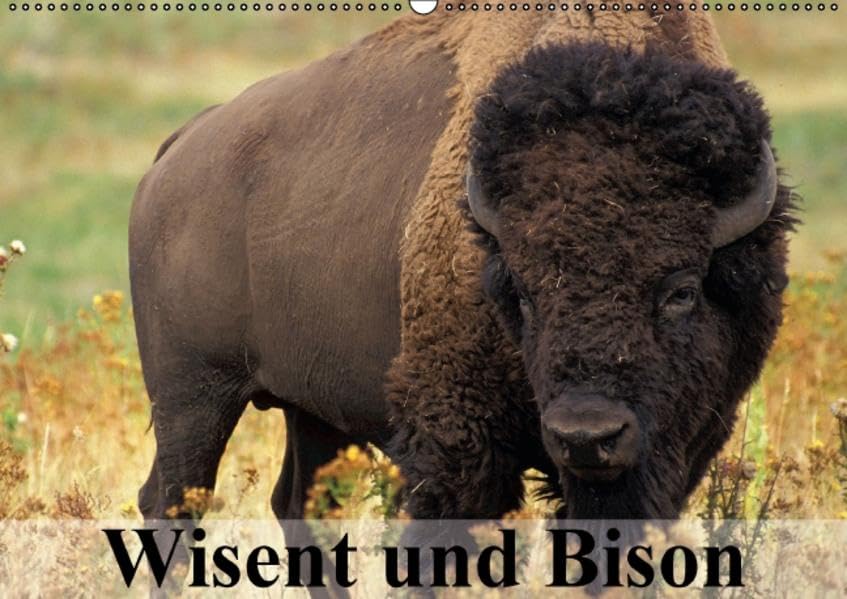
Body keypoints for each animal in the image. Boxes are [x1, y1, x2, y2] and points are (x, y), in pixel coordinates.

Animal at [130, 10, 794, 526]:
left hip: (310, 407)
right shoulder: (455, 441)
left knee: (300, 507)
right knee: (171, 501)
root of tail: (179, 148)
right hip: (192, 394)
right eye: (520, 293)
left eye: (682, 291)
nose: (587, 435)